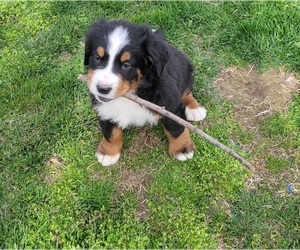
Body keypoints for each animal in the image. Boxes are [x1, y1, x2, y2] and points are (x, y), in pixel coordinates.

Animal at [84, 19, 206, 166]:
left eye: (126, 65)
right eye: (97, 58)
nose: (102, 88)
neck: (131, 92)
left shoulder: (169, 102)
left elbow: (176, 128)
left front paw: (182, 149)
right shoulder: (104, 108)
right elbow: (110, 132)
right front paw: (108, 152)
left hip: (184, 69)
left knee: (186, 91)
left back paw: (194, 108)